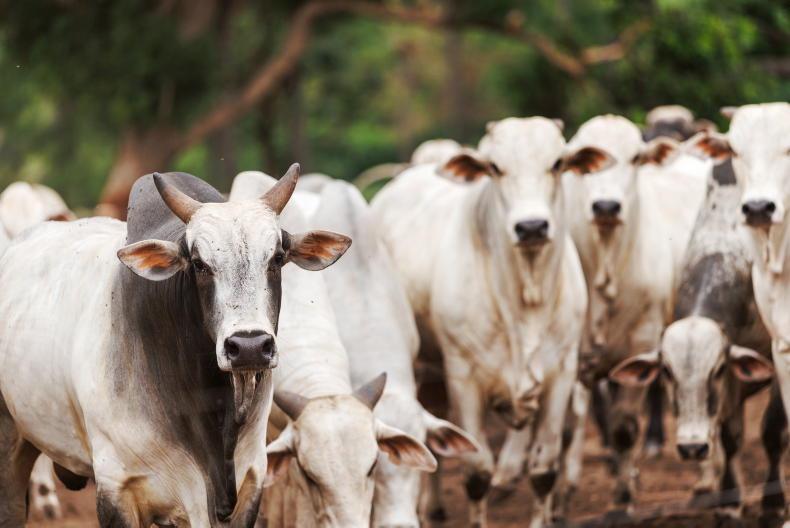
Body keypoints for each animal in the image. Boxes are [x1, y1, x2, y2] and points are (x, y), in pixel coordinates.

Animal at [371, 117, 613, 527]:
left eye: (557, 163)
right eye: (496, 168)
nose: (531, 227)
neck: (526, 300)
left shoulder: (561, 374)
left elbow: (544, 470)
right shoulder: (463, 377)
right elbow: (476, 473)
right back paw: (432, 509)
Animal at [555, 114, 709, 511]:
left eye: (635, 158)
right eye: (584, 165)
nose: (606, 207)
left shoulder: (640, 345)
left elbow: (624, 429)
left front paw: (623, 500)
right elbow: (565, 431)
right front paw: (558, 505)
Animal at [610, 158, 775, 519]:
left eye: (716, 370)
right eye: (667, 372)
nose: (692, 447)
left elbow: (774, 429)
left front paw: (773, 505)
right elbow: (729, 435)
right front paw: (729, 504)